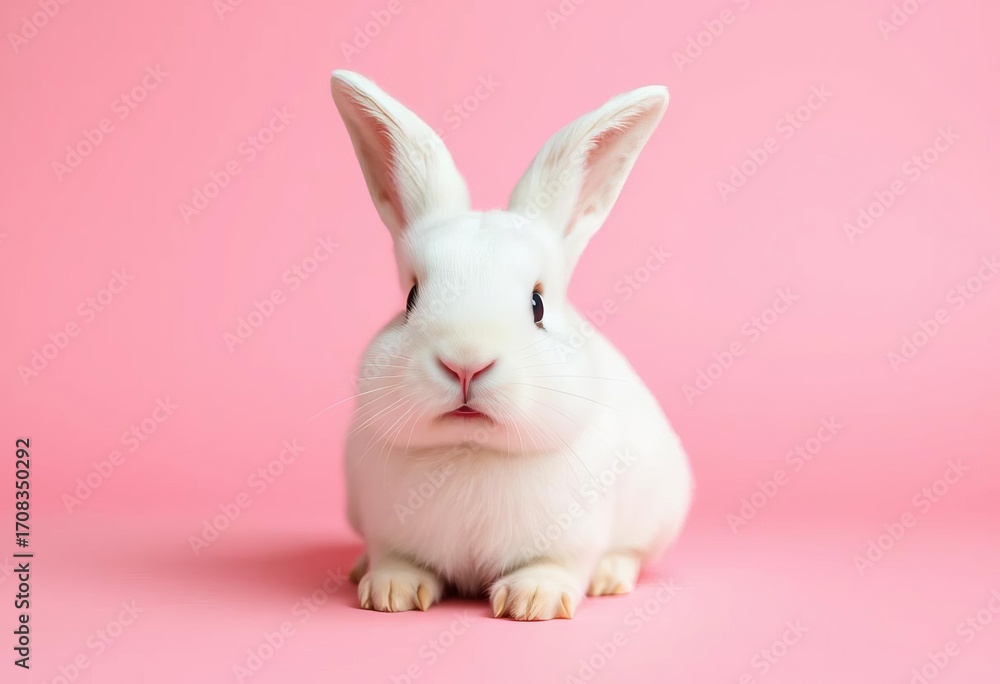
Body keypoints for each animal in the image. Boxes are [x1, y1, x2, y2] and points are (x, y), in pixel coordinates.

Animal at [329, 70, 693, 621]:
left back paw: (610, 579)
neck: (471, 451)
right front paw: (389, 593)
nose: (465, 363)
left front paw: (533, 601)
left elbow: (556, 567)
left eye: (538, 305)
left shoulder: (572, 542)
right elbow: (397, 558)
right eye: (411, 298)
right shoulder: (383, 527)